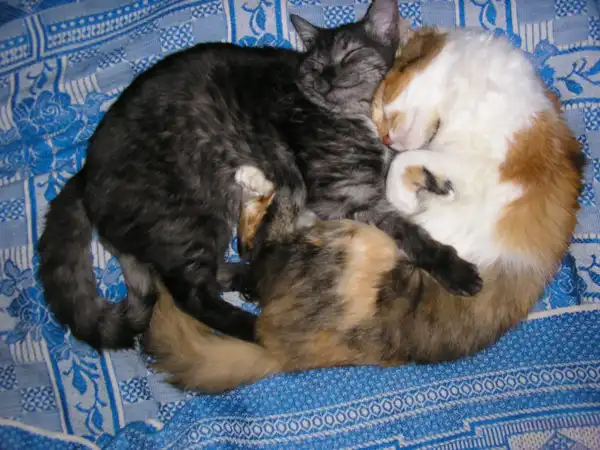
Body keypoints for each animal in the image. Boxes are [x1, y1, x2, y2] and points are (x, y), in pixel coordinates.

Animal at [37, 1, 481, 351]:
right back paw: (258, 327)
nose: (326, 77)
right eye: (315, 65)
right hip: (189, 215)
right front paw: (451, 266)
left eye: (351, 55)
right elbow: (406, 229)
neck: (358, 120)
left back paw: (249, 274)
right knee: (192, 295)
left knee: (204, 273)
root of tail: (83, 172)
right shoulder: (345, 195)